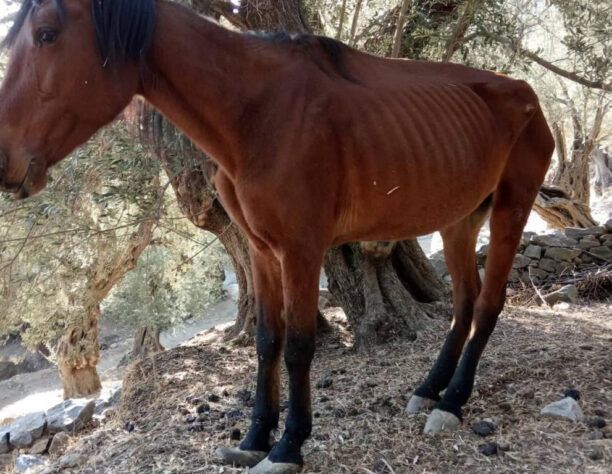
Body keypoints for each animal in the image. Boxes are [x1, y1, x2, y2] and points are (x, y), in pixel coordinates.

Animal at [0, 1, 556, 472]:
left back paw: (454, 401)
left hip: (510, 210)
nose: (6, 162)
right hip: (460, 219)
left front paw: (289, 445)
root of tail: (527, 94)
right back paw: (429, 390)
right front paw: (253, 439)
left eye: (46, 34)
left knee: (487, 304)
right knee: (463, 303)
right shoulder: (262, 252)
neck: (255, 111)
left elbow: (298, 347)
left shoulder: (302, 253)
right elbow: (268, 341)